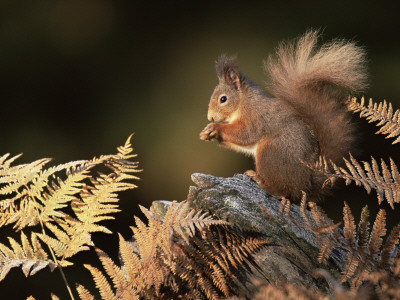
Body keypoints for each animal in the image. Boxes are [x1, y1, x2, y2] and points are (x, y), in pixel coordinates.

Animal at [198, 30, 368, 200]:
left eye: (223, 99)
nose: (210, 117)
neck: (244, 103)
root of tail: (306, 184)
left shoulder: (257, 118)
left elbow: (245, 134)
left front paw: (215, 128)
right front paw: (207, 132)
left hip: (272, 152)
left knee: (284, 191)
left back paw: (262, 181)